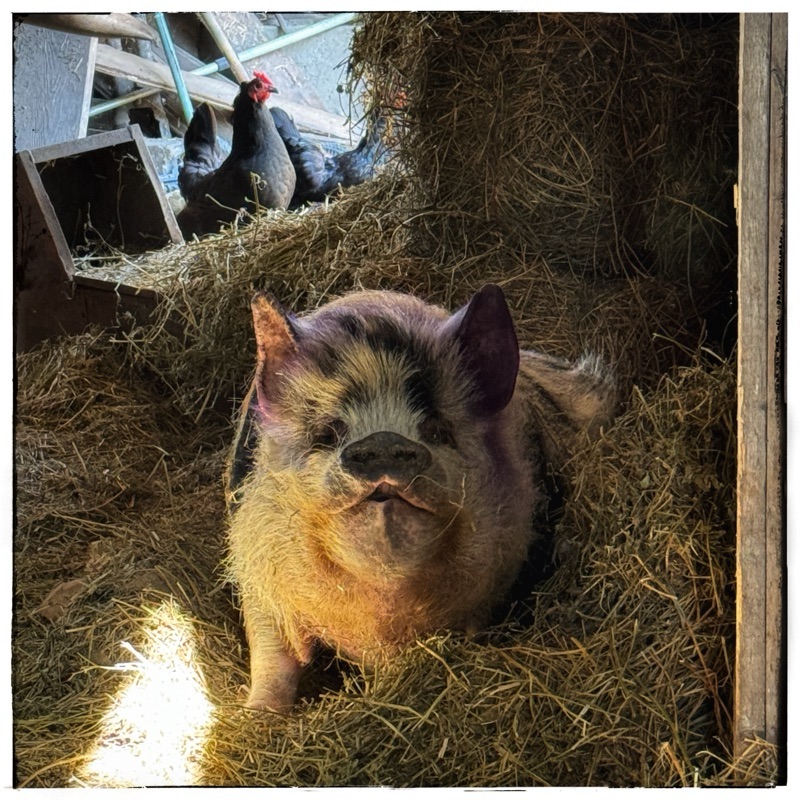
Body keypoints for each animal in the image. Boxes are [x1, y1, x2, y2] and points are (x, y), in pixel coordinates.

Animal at [224, 284, 615, 712]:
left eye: (436, 429)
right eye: (328, 433)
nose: (382, 442)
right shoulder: (255, 572)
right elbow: (273, 656)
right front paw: (257, 716)